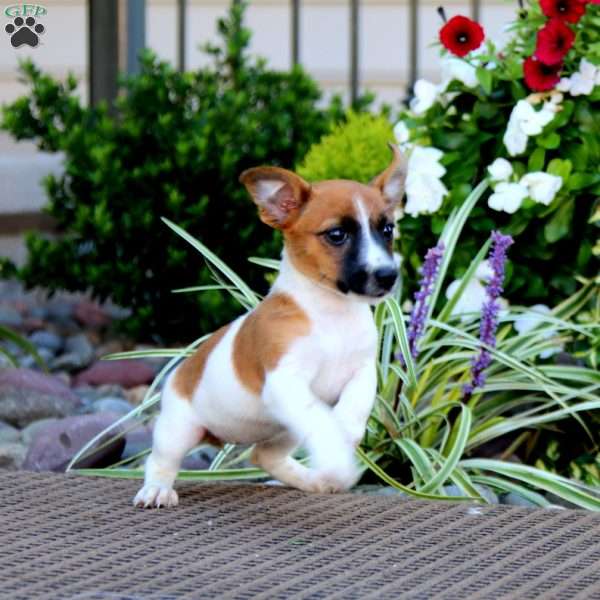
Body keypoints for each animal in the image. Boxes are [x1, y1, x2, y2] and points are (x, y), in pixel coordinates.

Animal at [135, 144, 408, 506]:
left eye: (387, 230)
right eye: (337, 235)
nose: (388, 276)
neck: (331, 314)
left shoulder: (363, 372)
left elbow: (353, 410)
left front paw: (343, 436)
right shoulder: (285, 382)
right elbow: (320, 421)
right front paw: (336, 455)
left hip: (283, 432)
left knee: (263, 456)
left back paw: (312, 480)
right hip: (178, 429)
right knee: (160, 460)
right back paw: (157, 490)